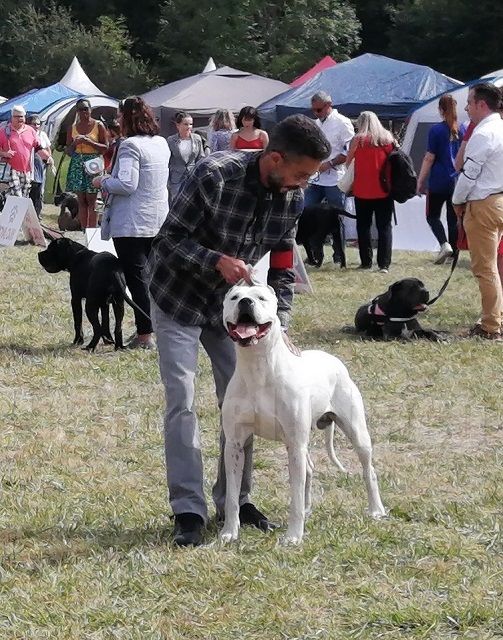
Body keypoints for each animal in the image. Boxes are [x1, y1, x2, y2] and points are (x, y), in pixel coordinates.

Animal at [220, 282, 386, 544]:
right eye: (234, 297)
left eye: (261, 298)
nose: (246, 302)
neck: (258, 367)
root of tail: (333, 359)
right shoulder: (235, 444)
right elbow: (232, 497)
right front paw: (229, 532)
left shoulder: (295, 444)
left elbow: (294, 498)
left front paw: (293, 537)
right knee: (309, 469)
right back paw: (309, 508)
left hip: (357, 433)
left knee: (368, 470)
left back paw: (376, 510)